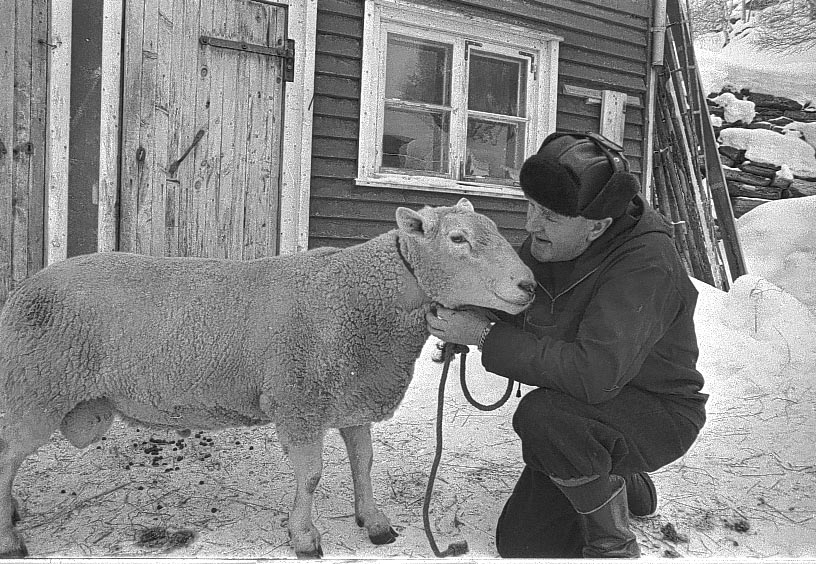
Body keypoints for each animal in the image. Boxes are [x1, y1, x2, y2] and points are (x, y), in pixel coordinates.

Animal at [0, 199, 536, 560]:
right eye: (458, 239)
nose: (529, 285)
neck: (366, 300)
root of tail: (22, 290)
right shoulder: (300, 399)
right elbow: (312, 475)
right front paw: (305, 537)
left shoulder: (353, 397)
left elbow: (363, 463)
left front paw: (374, 522)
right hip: (36, 386)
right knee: (7, 455)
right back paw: (10, 536)